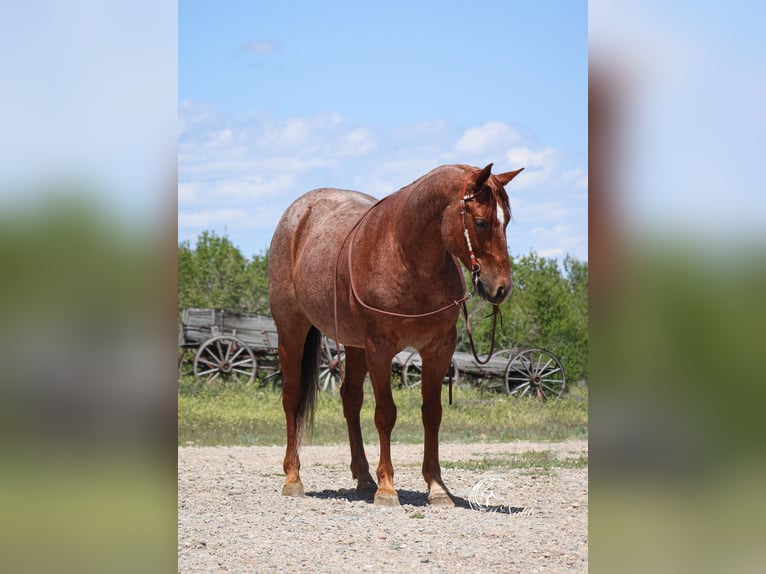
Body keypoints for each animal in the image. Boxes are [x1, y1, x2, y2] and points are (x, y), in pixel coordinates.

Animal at [268, 163, 524, 508]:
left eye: (506, 221)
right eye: (481, 222)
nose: (501, 288)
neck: (407, 257)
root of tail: (297, 214)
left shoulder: (437, 349)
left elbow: (432, 413)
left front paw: (436, 487)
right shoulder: (381, 349)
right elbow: (385, 414)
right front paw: (387, 488)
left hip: (355, 345)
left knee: (350, 400)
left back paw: (363, 477)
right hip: (291, 330)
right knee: (292, 399)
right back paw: (294, 478)